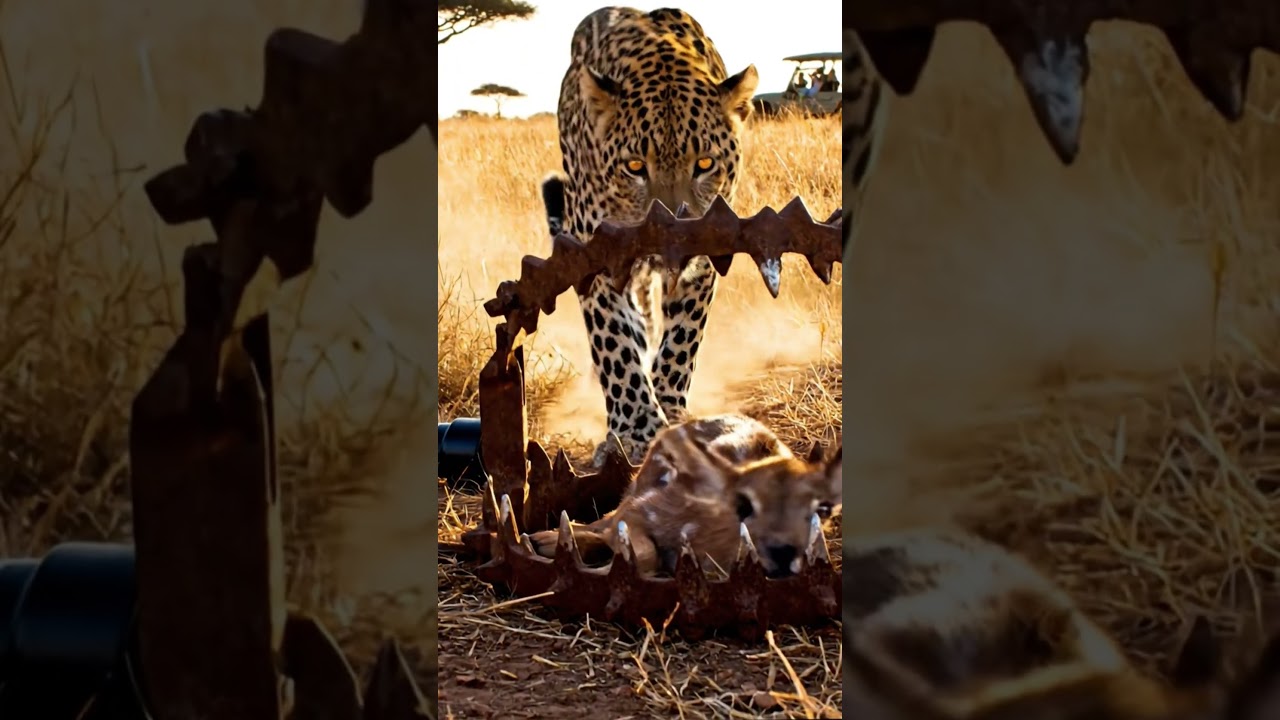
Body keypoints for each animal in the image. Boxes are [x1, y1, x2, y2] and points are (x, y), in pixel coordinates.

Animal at [543, 6, 760, 467]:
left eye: (705, 163)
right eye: (634, 167)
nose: (669, 238)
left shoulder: (704, 262)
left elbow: (681, 341)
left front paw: (670, 412)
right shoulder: (594, 263)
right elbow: (616, 347)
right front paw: (637, 428)